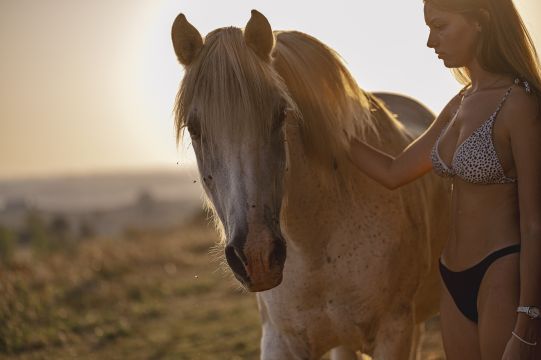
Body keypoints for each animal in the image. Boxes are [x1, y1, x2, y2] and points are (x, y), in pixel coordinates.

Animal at [171, 9, 450, 358]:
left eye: (280, 115)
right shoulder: (279, 339)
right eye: (194, 128)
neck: (316, 243)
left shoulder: (394, 331)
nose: (257, 256)